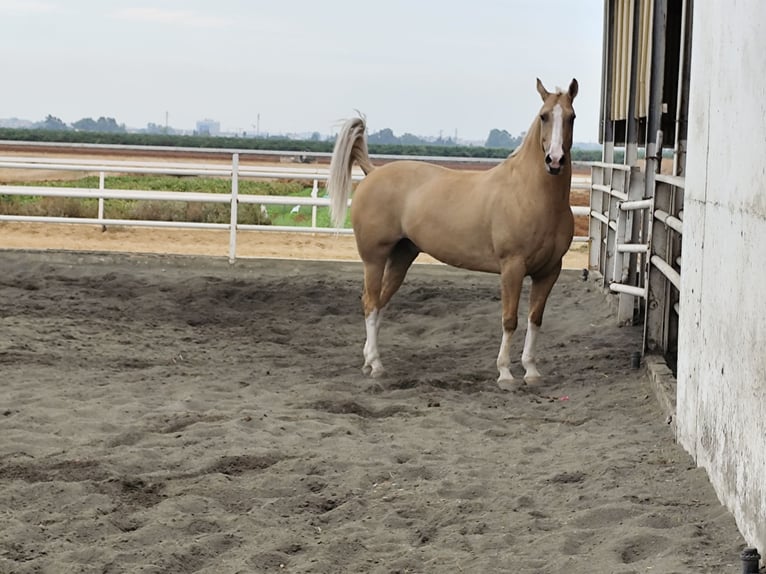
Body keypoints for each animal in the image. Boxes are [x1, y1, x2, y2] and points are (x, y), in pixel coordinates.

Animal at [327, 78, 578, 387]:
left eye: (571, 117)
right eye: (544, 116)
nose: (554, 161)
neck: (530, 194)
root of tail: (373, 172)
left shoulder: (549, 271)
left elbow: (535, 319)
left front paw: (530, 371)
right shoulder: (512, 267)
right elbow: (510, 320)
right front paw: (505, 373)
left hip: (401, 257)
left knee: (381, 303)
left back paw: (368, 360)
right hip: (373, 259)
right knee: (371, 304)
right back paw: (375, 365)